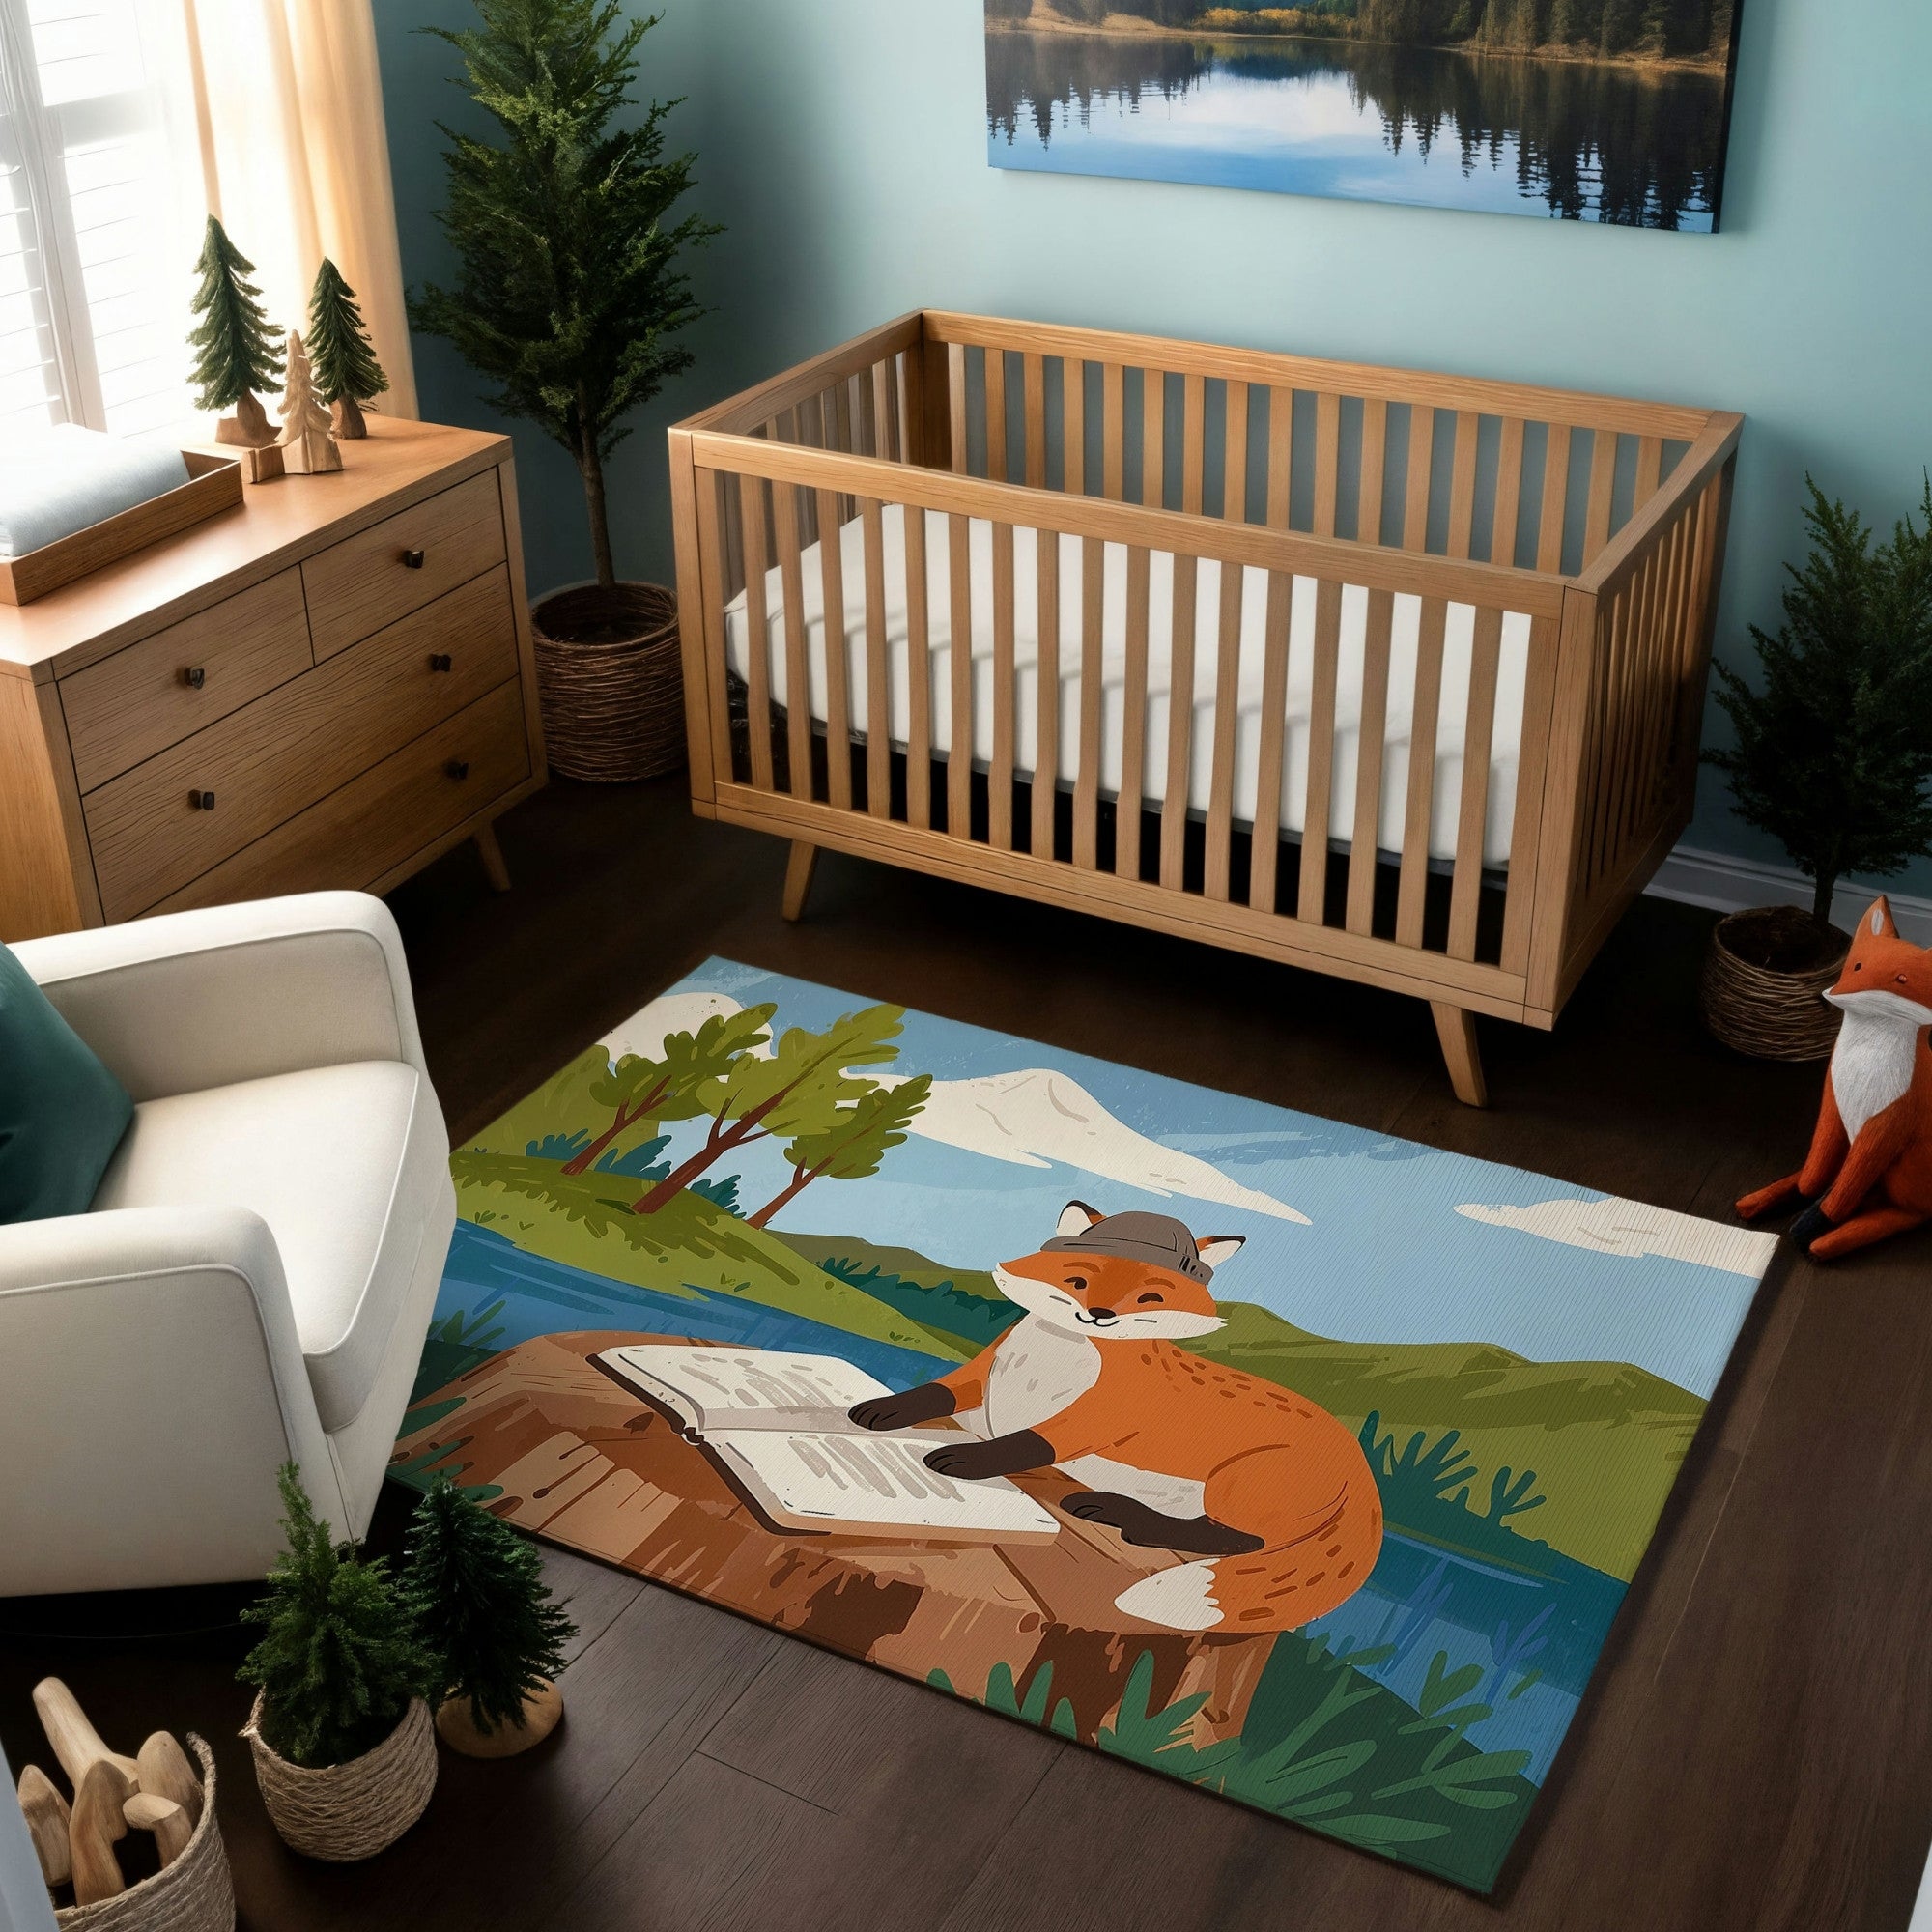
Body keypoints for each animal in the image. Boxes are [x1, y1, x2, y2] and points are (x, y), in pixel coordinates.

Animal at [854, 1206, 1383, 1631]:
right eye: (1079, 1282)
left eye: (1149, 1299)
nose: (1100, 1314)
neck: (1051, 1357)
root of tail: (1364, 1472)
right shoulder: (980, 1378)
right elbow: (934, 1392)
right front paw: (880, 1409)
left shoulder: (1097, 1417)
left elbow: (1026, 1442)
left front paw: (964, 1459)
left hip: (1240, 1482)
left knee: (1235, 1538)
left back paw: (1122, 1515)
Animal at [1739, 896, 1932, 1260]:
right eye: (1856, 966)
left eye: (1901, 978)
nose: (1834, 994)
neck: (1861, 1066)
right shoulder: (1832, 1103)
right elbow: (1816, 1173)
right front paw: (1799, 1194)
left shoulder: (1886, 1124)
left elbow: (1841, 1195)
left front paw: (1814, 1224)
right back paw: (1762, 1198)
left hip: (1902, 1175)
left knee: (1904, 1214)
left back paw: (1826, 1239)